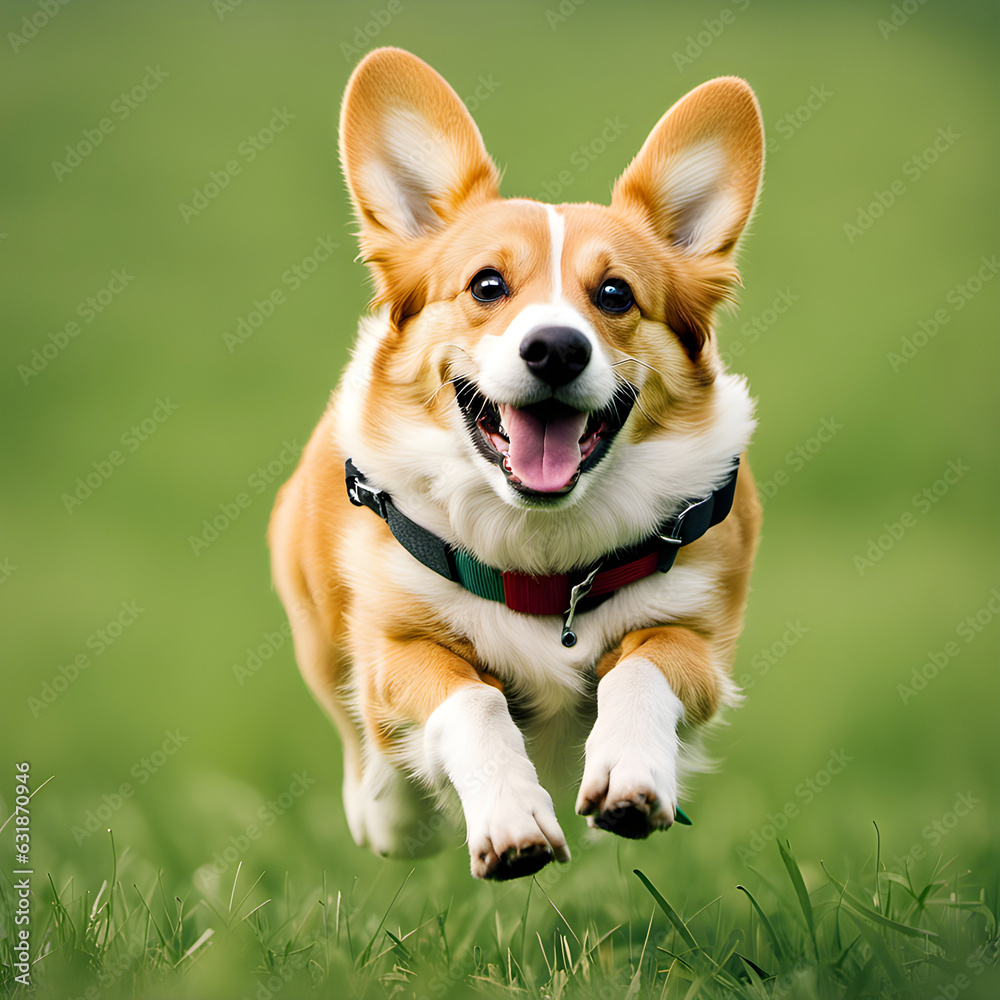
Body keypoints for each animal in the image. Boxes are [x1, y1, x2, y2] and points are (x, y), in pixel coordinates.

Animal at [270, 47, 760, 880]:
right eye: (488, 285)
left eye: (615, 294)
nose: (557, 348)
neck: (544, 548)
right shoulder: (398, 647)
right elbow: (472, 702)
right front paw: (509, 821)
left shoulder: (696, 638)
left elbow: (642, 665)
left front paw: (631, 777)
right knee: (365, 745)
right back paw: (390, 813)